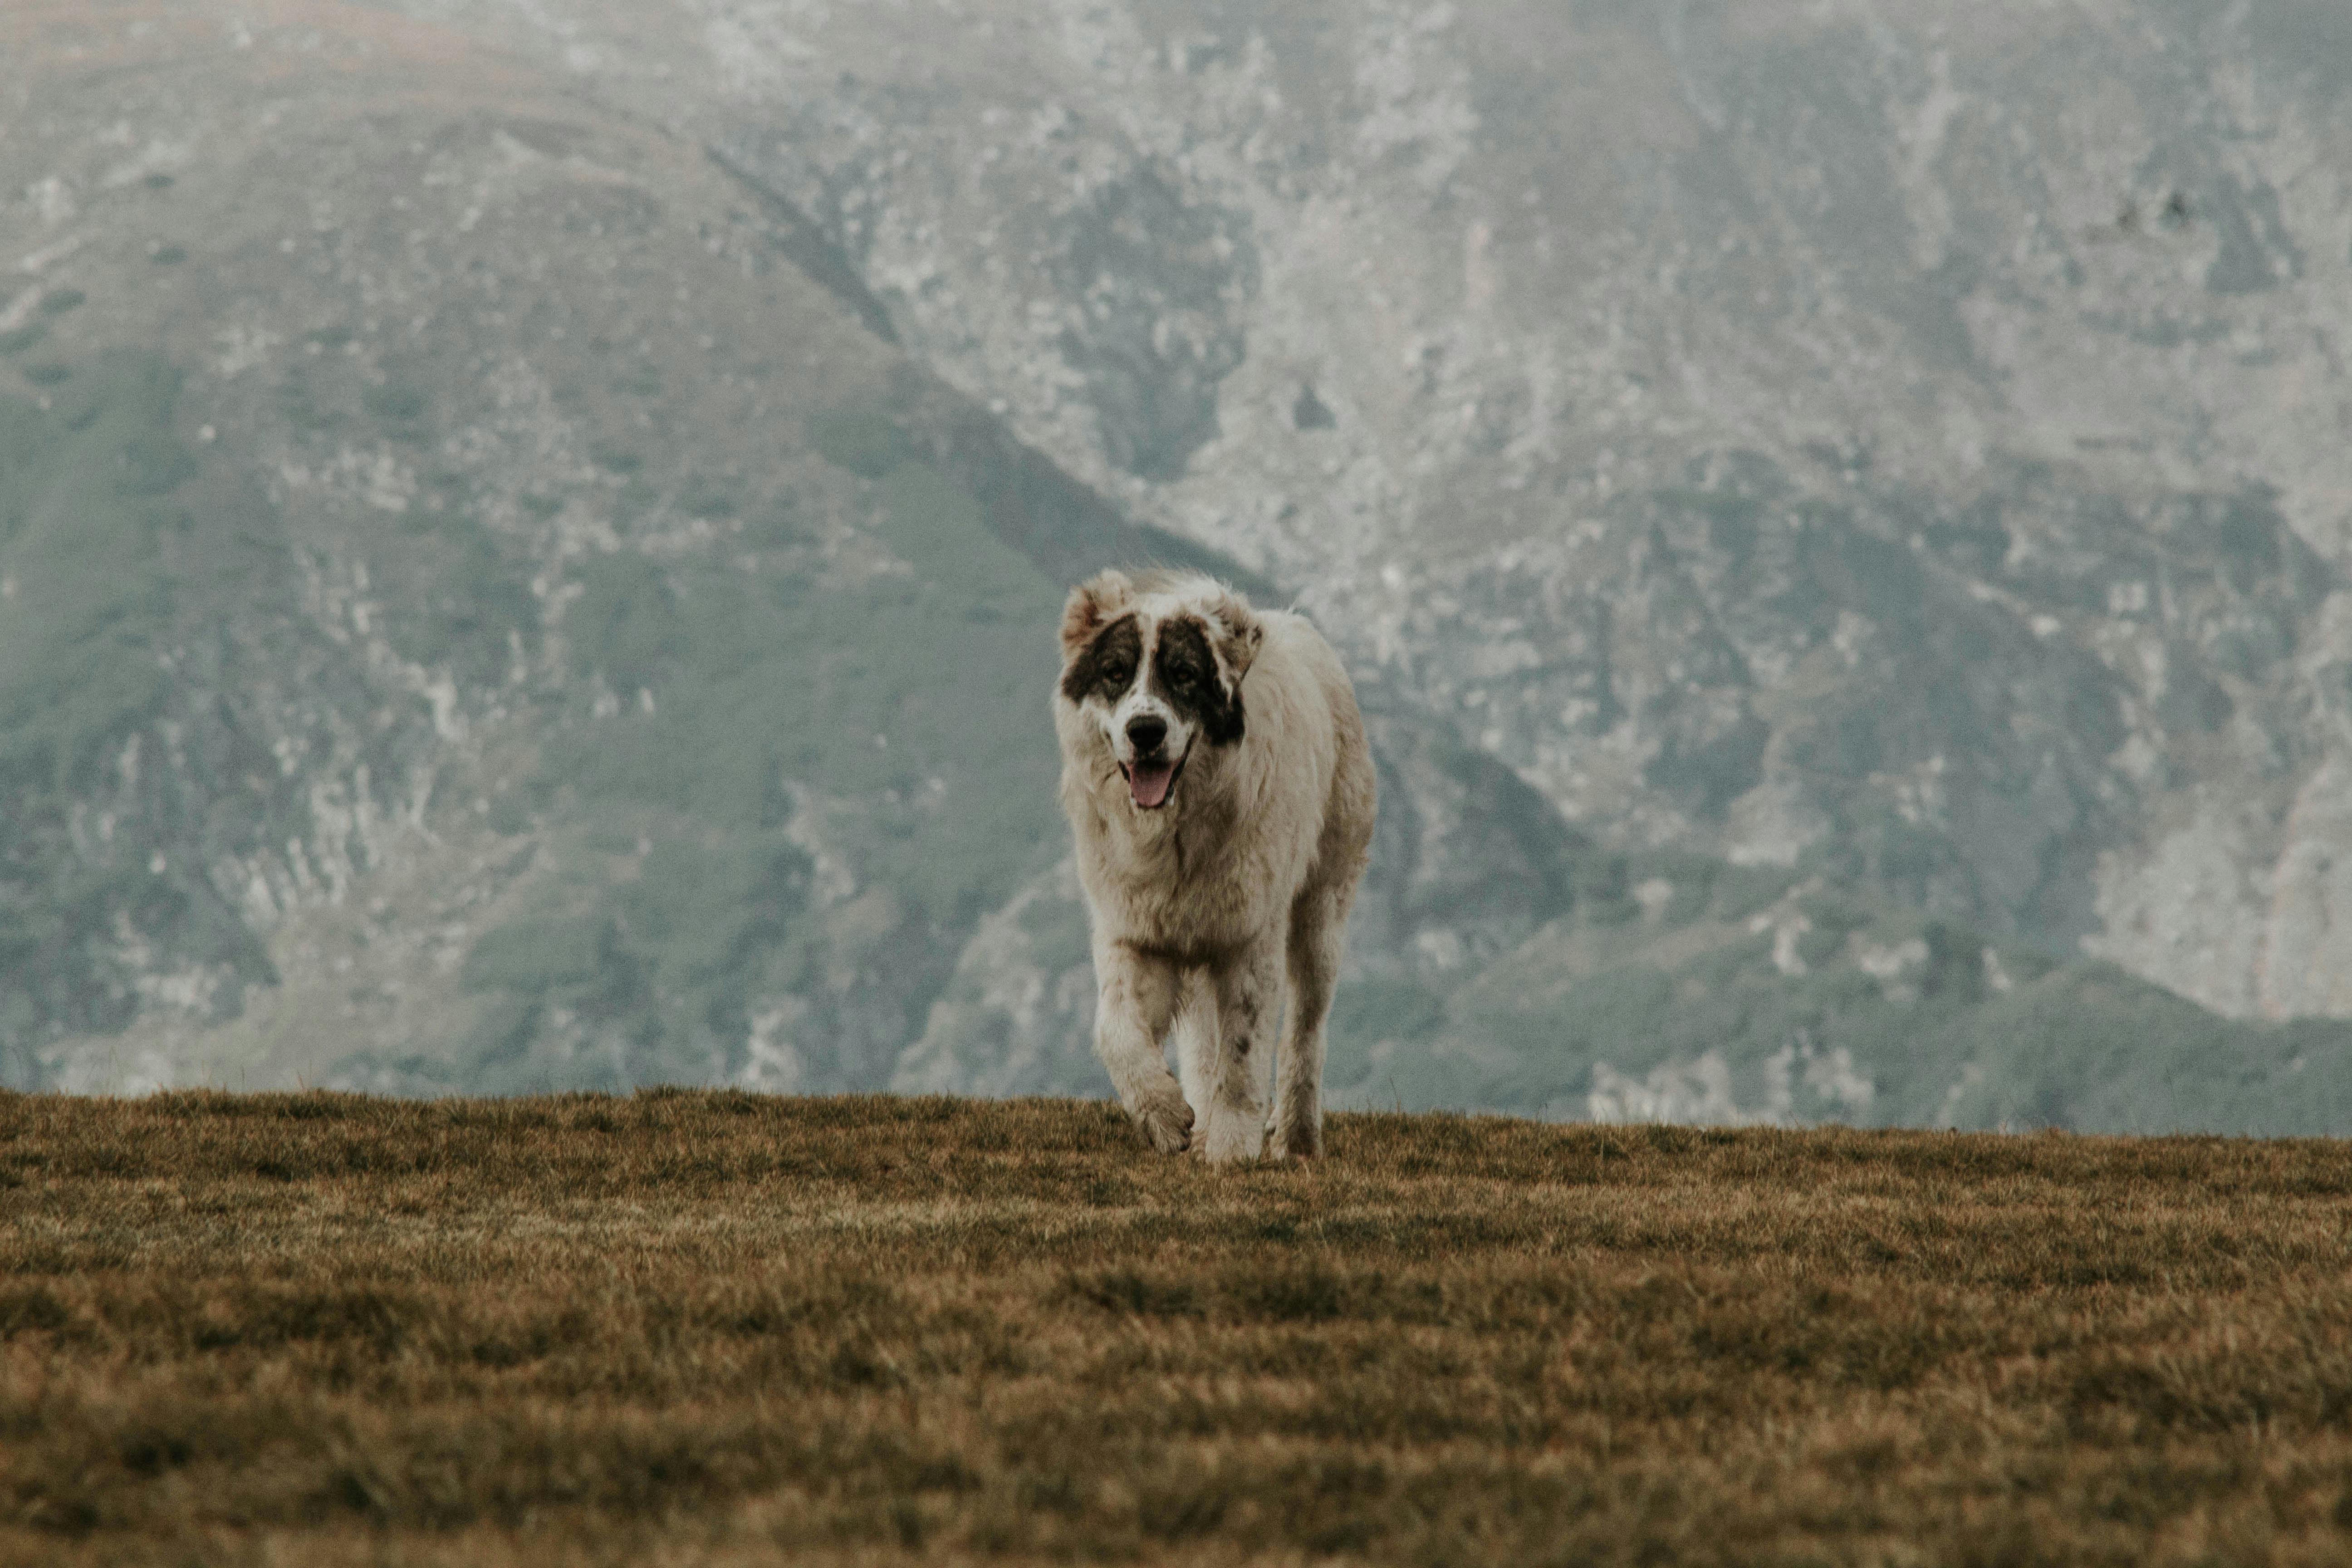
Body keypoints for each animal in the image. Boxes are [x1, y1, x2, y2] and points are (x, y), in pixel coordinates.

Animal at [1054, 571, 1373, 1161]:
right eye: (1115, 673)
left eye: (1184, 675)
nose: (1146, 731)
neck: (1175, 831)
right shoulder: (1133, 932)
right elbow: (1116, 1030)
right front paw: (1165, 1116)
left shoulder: (1250, 940)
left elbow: (1244, 1051)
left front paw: (1231, 1148)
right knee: (1203, 1040)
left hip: (1321, 914)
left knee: (1305, 1029)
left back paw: (1295, 1137)